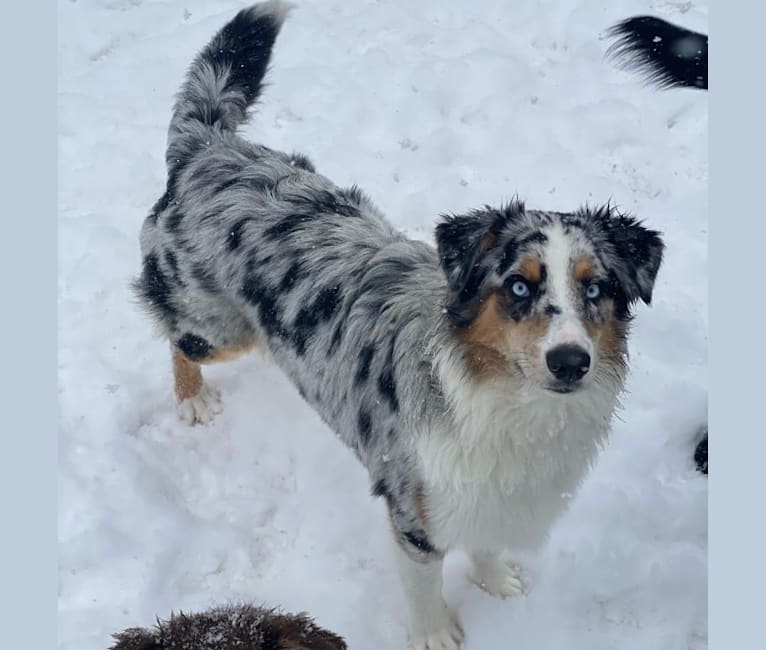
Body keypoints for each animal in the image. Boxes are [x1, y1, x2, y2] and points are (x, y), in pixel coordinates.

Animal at [136, 3, 664, 644]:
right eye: (518, 285)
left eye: (596, 288)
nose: (570, 362)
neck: (509, 403)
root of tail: (210, 147)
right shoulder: (414, 504)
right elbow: (423, 586)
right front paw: (435, 636)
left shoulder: (491, 495)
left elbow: (486, 545)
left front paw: (496, 581)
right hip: (216, 328)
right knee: (177, 338)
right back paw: (193, 400)